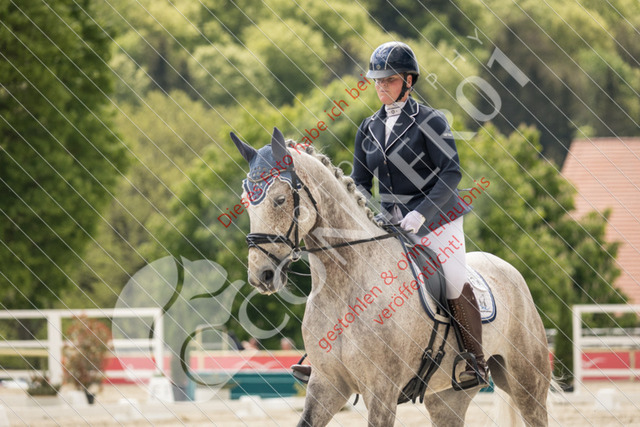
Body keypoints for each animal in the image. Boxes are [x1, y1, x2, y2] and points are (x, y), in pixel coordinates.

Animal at [232, 128, 551, 426]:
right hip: (448, 397)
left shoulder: (382, 391)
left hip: (528, 384)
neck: (344, 285)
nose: (261, 275)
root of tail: (507, 268)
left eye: (279, 199)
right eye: (246, 201)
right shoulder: (327, 384)